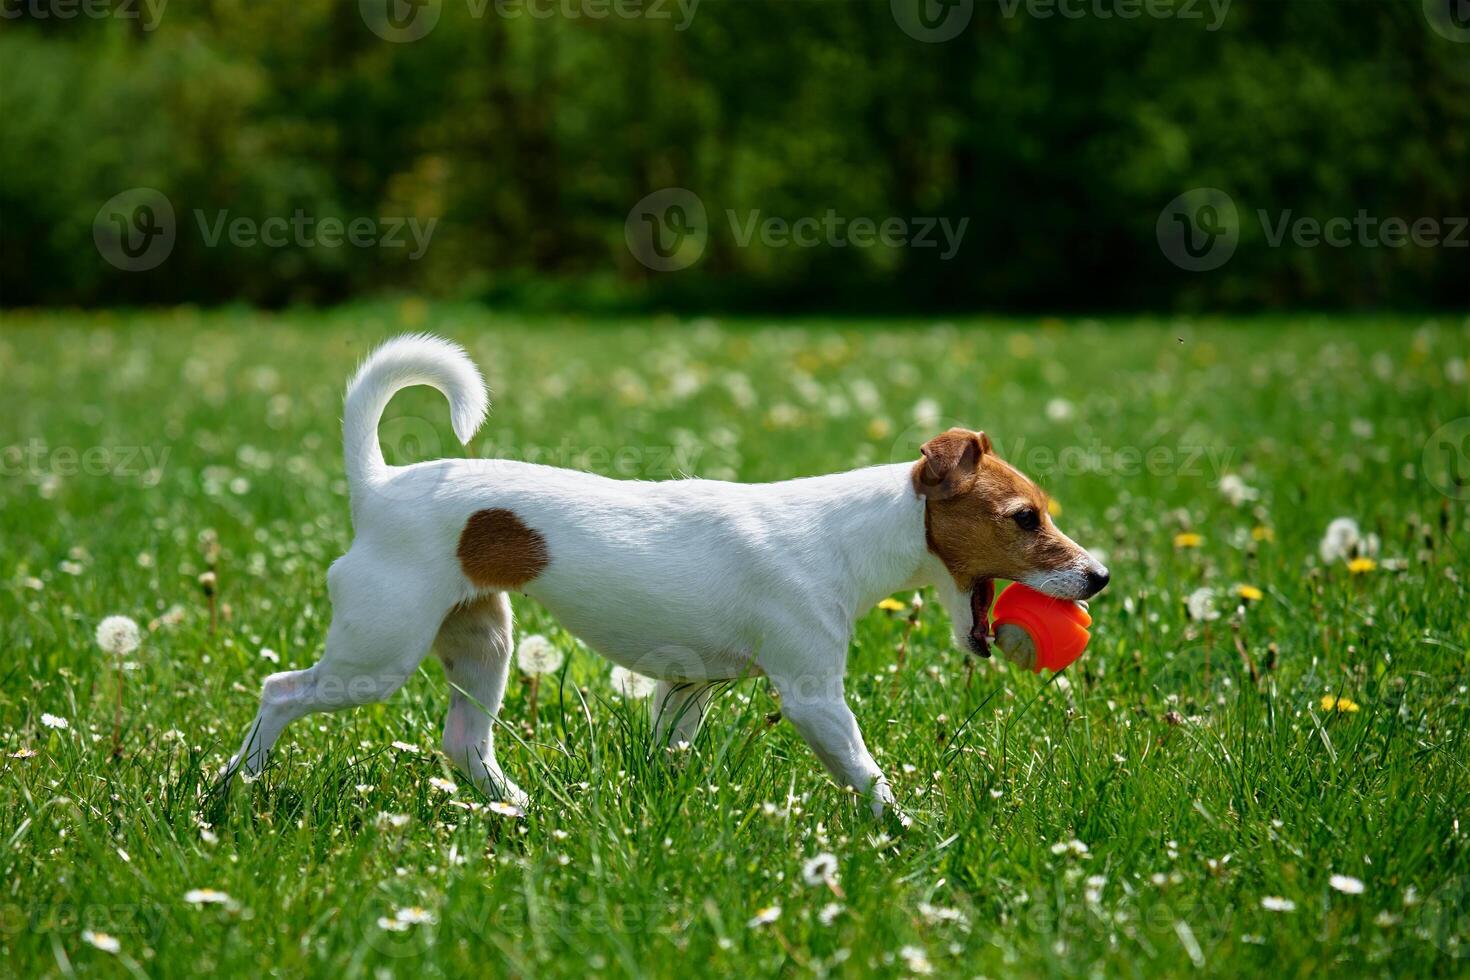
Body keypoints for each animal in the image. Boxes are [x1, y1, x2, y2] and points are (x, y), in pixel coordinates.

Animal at [223, 333, 1105, 816]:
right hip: (377, 651)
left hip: (481, 644)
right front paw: (911, 835)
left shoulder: (687, 690)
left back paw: (523, 808)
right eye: (1025, 519)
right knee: (281, 692)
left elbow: (667, 752)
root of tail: (376, 485)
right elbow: (866, 773)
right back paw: (235, 786)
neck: (848, 533)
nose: (1098, 577)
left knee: (463, 743)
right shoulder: (813, 696)